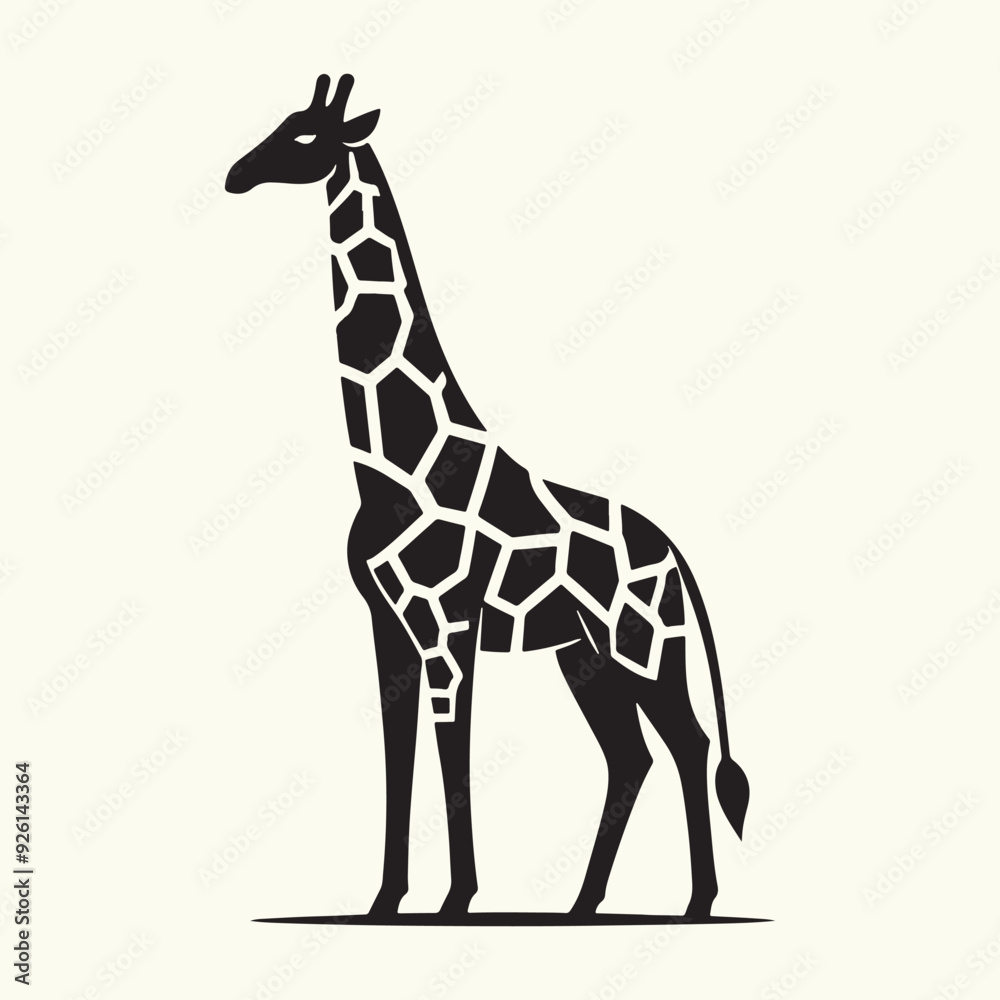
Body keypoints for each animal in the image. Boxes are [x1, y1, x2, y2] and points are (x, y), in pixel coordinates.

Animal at [226, 74, 750, 920]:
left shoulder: (448, 623)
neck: (390, 464)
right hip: (585, 655)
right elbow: (397, 754)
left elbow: (452, 752)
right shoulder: (389, 624)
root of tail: (674, 555)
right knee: (631, 755)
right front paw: (385, 898)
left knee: (688, 743)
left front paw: (456, 897)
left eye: (303, 138)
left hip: (642, 645)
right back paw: (582, 903)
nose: (235, 174)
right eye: (280, 123)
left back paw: (698, 901)